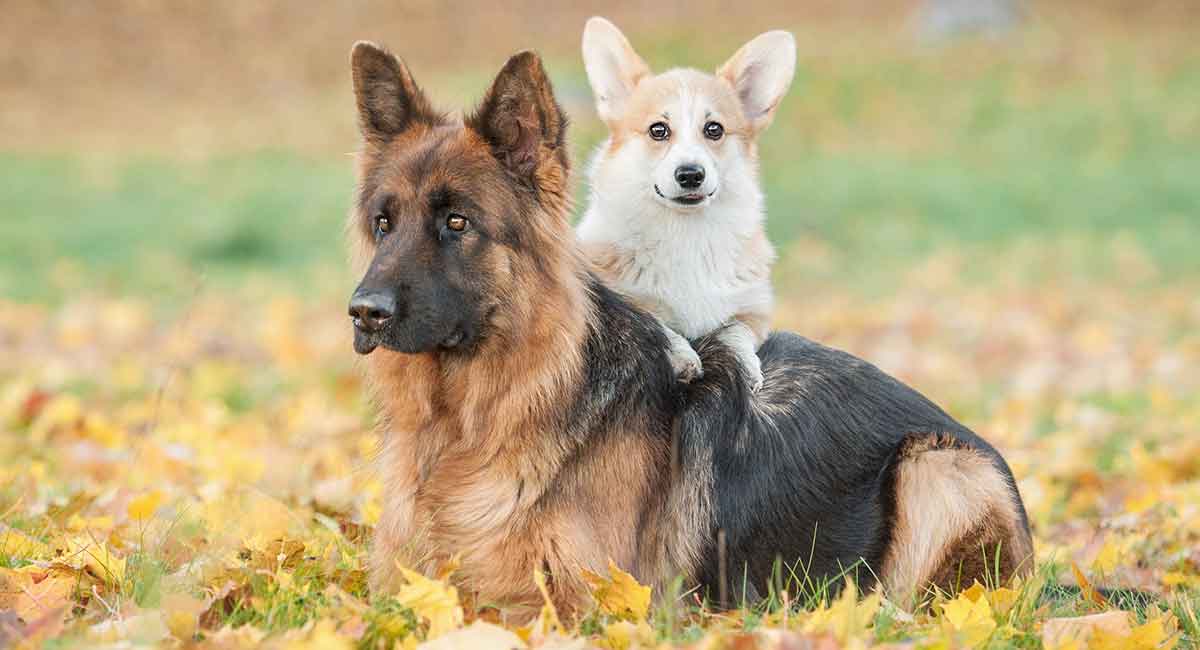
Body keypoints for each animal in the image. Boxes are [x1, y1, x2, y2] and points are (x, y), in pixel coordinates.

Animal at [573, 17, 792, 390]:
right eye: (658, 130)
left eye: (714, 129)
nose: (690, 175)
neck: (687, 232)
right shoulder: (617, 300)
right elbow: (657, 322)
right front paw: (682, 356)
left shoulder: (754, 310)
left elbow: (735, 331)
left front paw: (746, 367)